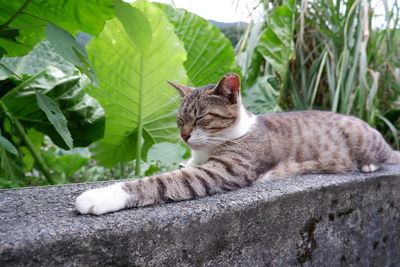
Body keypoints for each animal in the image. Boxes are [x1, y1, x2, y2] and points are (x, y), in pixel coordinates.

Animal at [76, 73, 400, 216]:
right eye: (179, 120)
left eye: (202, 117)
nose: (184, 136)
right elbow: (180, 167)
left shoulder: (221, 171)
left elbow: (160, 182)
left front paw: (99, 196)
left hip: (365, 142)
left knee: (387, 155)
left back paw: (370, 164)